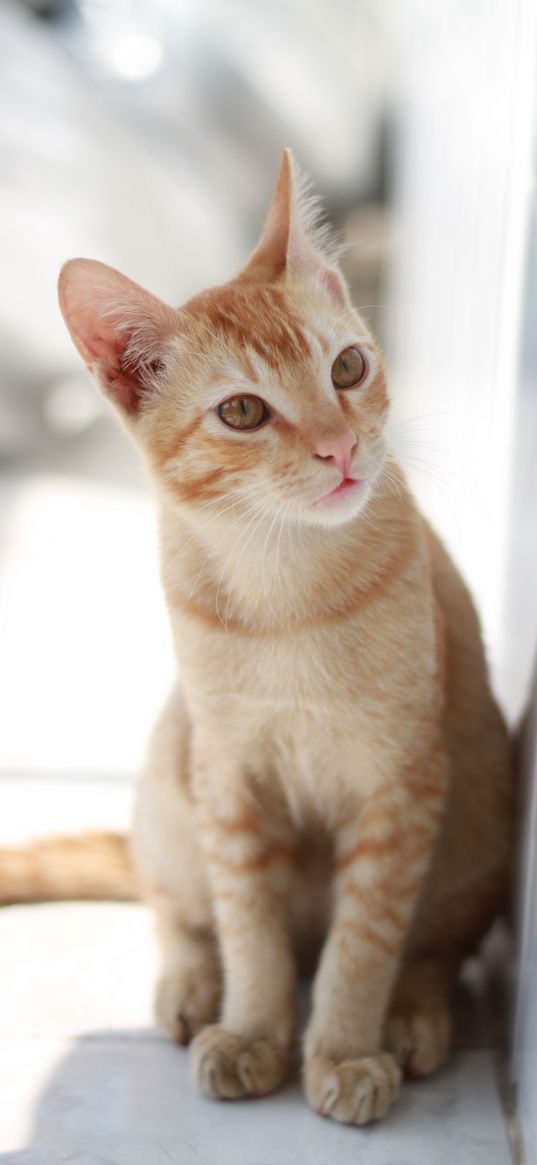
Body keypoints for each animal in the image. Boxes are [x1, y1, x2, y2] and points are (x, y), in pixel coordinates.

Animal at [53, 150, 510, 1123]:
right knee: (172, 904)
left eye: (348, 366)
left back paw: (411, 1015)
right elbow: (248, 927)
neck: (286, 592)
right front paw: (255, 1030)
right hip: (169, 772)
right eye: (242, 413)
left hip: (476, 820)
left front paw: (342, 1047)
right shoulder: (225, 776)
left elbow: (364, 938)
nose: (340, 449)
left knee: (433, 946)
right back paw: (192, 984)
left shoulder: (403, 779)